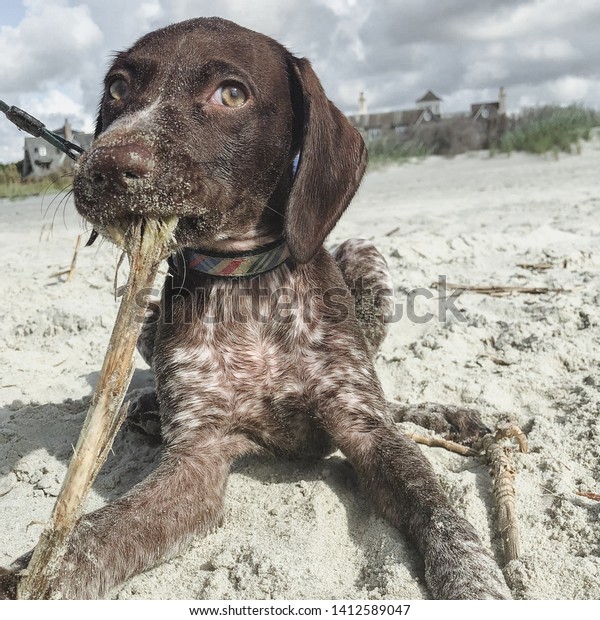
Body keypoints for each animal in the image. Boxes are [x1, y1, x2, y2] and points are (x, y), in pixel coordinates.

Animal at [1, 18, 510, 600]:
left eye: (231, 93)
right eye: (118, 88)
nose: (103, 165)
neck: (245, 284)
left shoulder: (365, 429)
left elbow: (437, 506)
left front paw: (476, 582)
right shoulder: (196, 457)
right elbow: (89, 539)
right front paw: (29, 578)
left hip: (365, 256)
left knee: (391, 400)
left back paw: (452, 416)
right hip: (150, 321)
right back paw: (147, 407)